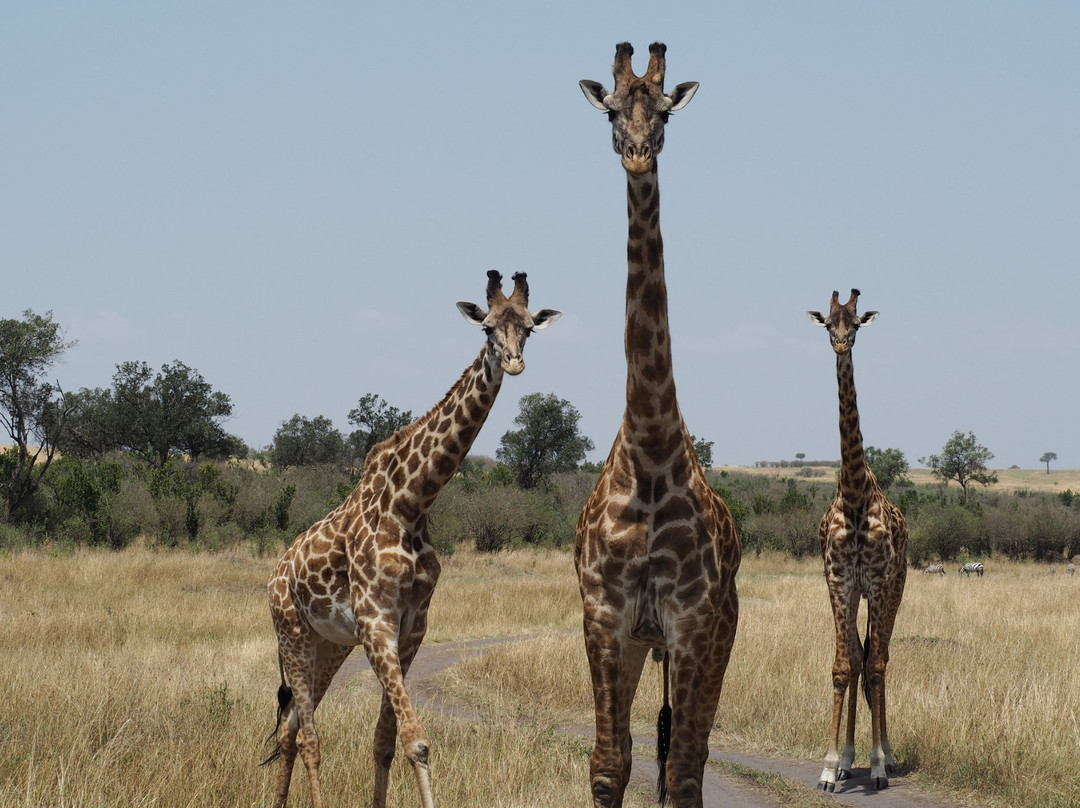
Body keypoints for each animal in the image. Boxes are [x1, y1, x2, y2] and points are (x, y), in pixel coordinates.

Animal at [264, 271, 561, 808]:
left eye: (528, 328)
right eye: (487, 328)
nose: (513, 362)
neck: (412, 503)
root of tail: (275, 575)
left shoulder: (412, 625)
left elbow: (386, 740)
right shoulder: (376, 620)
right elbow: (417, 741)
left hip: (327, 644)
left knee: (291, 729)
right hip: (291, 632)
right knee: (310, 735)